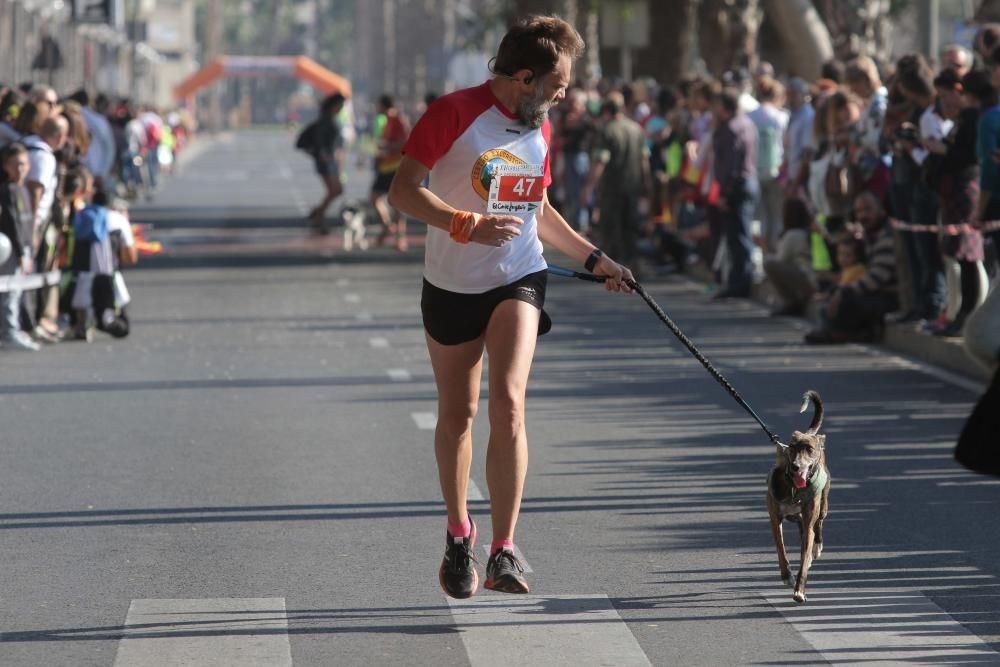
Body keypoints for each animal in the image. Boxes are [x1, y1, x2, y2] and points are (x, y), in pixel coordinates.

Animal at [768, 392, 832, 604]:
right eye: (792, 448)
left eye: (809, 449)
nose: (796, 466)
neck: (794, 488)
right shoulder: (775, 518)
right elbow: (781, 548)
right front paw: (787, 575)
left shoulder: (811, 514)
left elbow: (804, 558)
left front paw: (799, 591)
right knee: (800, 524)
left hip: (823, 505)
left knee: (817, 523)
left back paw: (817, 547)